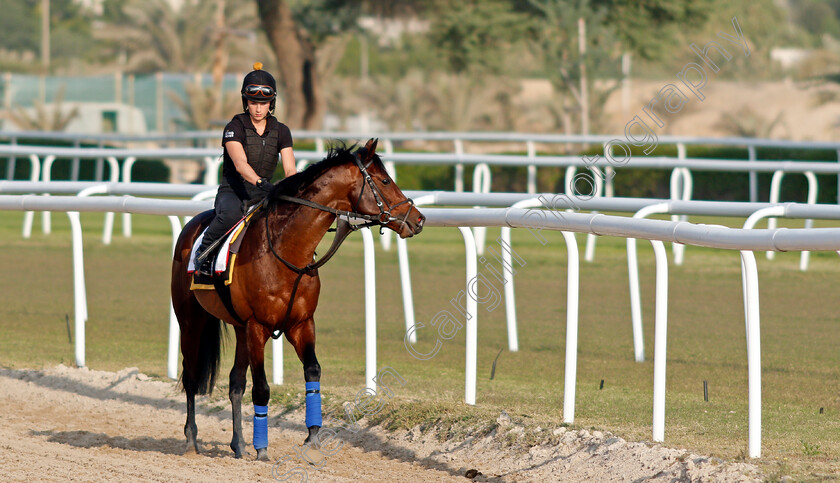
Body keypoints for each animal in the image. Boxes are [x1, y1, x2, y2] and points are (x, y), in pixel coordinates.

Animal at [171, 138, 424, 460]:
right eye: (385, 180)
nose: (418, 219)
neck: (286, 251)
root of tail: (191, 226)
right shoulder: (258, 326)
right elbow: (262, 389)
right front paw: (262, 448)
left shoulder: (301, 324)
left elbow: (312, 372)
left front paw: (312, 437)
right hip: (191, 320)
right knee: (191, 377)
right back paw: (192, 439)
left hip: (240, 329)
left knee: (235, 383)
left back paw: (238, 444)